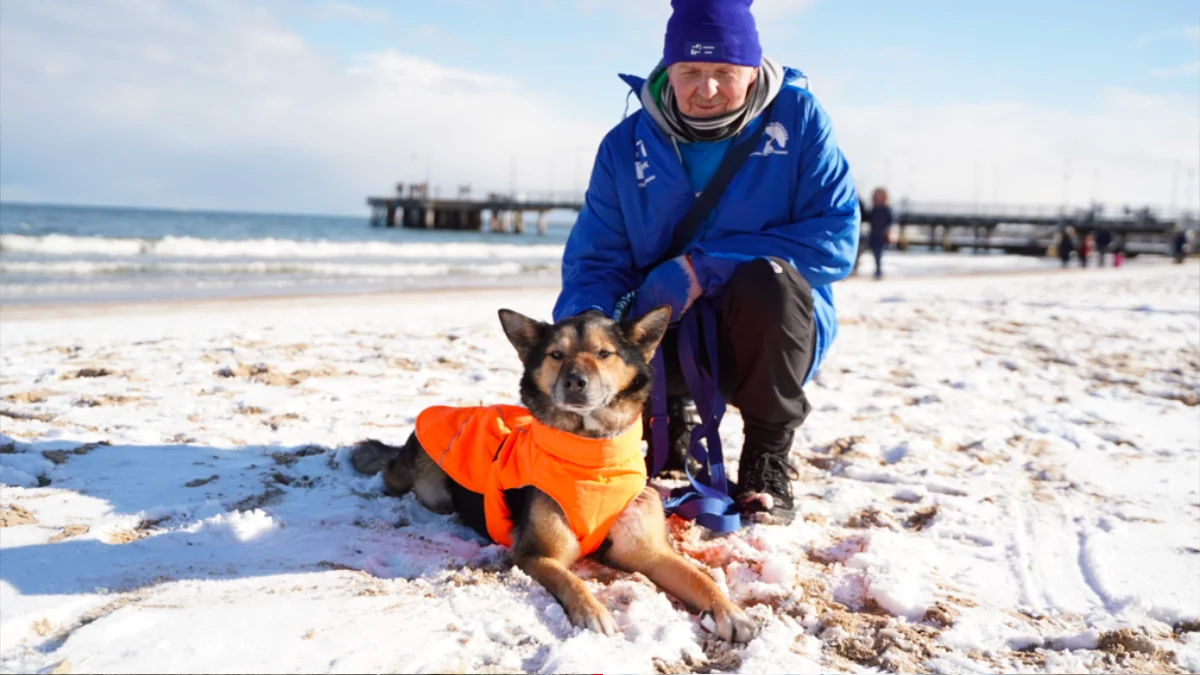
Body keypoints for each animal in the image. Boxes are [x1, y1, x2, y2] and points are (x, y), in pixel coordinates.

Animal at [350, 305, 758, 638]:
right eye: (556, 355)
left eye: (604, 353)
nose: (575, 381)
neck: (593, 458)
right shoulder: (536, 554)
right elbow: (571, 580)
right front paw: (594, 612)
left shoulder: (649, 550)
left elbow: (699, 578)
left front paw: (731, 612)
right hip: (431, 486)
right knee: (393, 474)